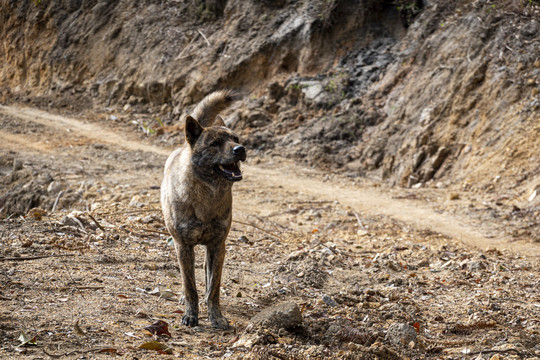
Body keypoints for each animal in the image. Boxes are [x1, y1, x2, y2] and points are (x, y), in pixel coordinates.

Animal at [159, 90, 246, 330]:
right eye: (215, 143)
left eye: (235, 139)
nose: (241, 150)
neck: (208, 196)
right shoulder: (182, 246)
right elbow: (190, 287)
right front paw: (191, 315)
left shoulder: (217, 246)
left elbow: (213, 287)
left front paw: (216, 316)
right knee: (186, 279)